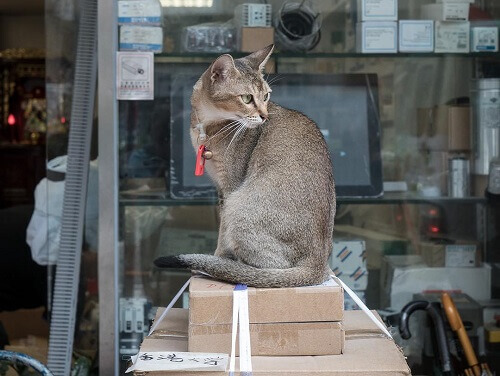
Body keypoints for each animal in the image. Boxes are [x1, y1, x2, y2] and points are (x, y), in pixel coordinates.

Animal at [155, 44, 336, 286]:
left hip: (239, 207)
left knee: (271, 270)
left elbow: (222, 230)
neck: (207, 126)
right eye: (247, 98)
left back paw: (224, 268)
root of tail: (319, 264)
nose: (265, 116)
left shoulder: (230, 185)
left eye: (266, 96)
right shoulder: (220, 187)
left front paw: (219, 258)